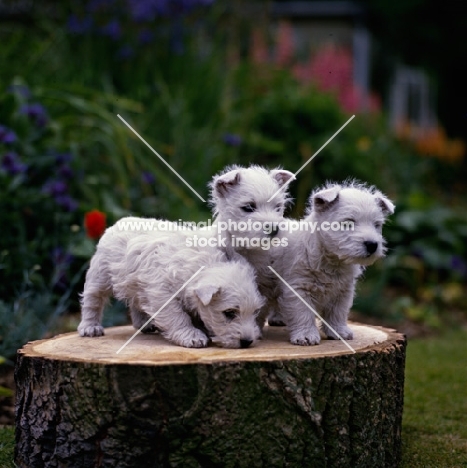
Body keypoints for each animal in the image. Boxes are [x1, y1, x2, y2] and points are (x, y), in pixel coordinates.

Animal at [78, 221, 266, 350]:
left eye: (255, 312)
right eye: (229, 313)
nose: (247, 341)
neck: (201, 266)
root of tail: (117, 224)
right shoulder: (162, 294)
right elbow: (177, 316)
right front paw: (192, 336)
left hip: (135, 285)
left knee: (136, 302)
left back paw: (144, 323)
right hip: (100, 275)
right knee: (93, 300)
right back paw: (90, 327)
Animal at [274, 181, 394, 346]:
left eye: (376, 225)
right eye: (348, 223)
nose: (372, 245)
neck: (332, 261)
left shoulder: (343, 291)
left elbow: (338, 312)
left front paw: (339, 332)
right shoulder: (298, 287)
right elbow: (303, 313)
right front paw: (306, 336)